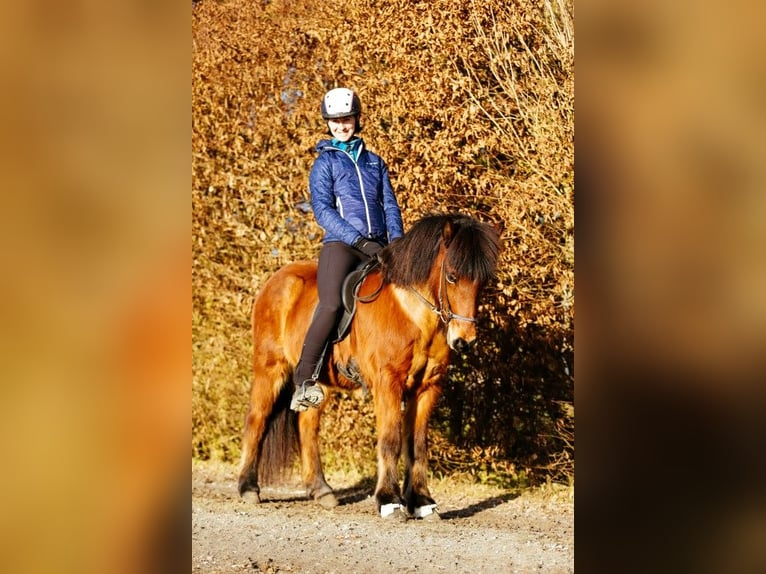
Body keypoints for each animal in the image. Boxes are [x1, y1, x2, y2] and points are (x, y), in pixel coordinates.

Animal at [240, 214, 504, 520]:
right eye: (451, 276)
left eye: (483, 281)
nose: (464, 341)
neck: (412, 314)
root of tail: (276, 280)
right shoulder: (387, 382)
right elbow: (390, 440)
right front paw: (390, 501)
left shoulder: (427, 387)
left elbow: (417, 445)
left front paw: (422, 502)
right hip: (270, 368)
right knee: (257, 418)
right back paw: (248, 488)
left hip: (317, 385)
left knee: (307, 426)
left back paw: (321, 490)